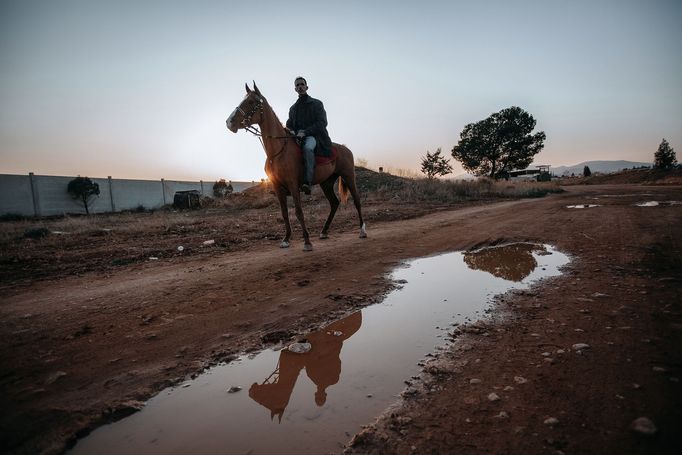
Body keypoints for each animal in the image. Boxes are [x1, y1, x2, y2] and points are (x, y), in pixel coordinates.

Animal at [224, 83, 364, 253]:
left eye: (251, 102)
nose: (229, 122)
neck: (278, 152)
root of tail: (346, 149)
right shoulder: (278, 187)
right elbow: (284, 213)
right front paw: (286, 239)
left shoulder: (293, 184)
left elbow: (298, 211)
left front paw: (307, 242)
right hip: (326, 183)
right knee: (334, 203)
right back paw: (324, 232)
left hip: (349, 176)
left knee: (356, 200)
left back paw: (362, 230)